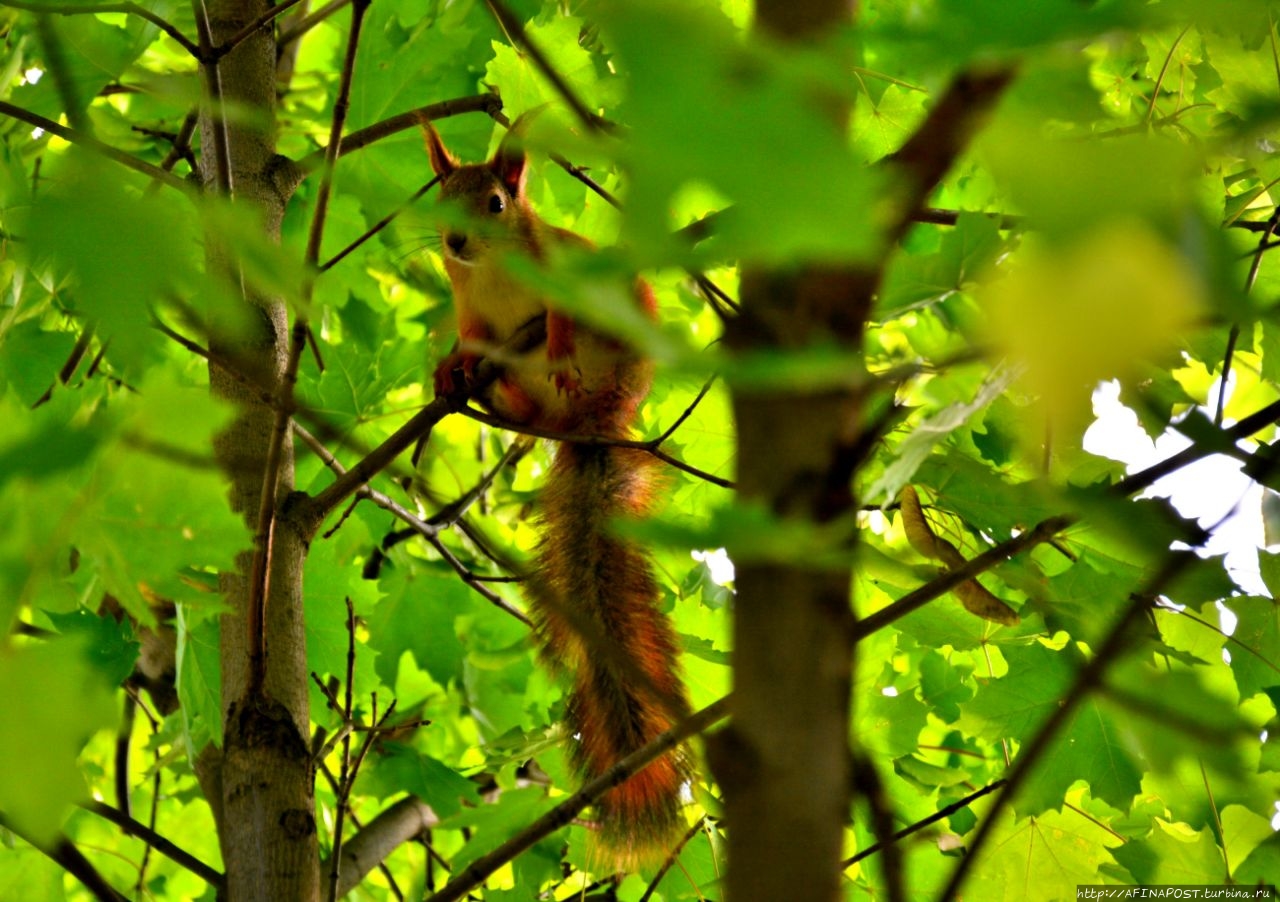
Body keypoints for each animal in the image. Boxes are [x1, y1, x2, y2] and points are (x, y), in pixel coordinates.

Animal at [422, 119, 691, 864]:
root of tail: (593, 425)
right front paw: (450, 369)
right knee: (515, 398)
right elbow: (470, 341)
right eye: (438, 198)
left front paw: (563, 343)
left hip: (625, 339)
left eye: (495, 202)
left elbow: (561, 315)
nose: (456, 243)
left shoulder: (562, 269)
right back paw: (493, 391)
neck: (493, 274)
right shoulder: (473, 317)